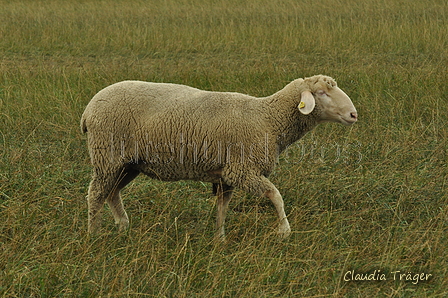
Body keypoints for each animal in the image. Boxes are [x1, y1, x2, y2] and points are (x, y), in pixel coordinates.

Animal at [80, 75, 356, 240]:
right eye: (322, 93)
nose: (354, 114)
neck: (268, 118)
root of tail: (88, 109)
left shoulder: (227, 175)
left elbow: (222, 208)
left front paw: (219, 238)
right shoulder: (242, 170)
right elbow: (275, 195)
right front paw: (284, 231)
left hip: (128, 163)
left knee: (112, 192)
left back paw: (123, 226)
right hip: (108, 154)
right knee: (96, 193)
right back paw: (93, 233)